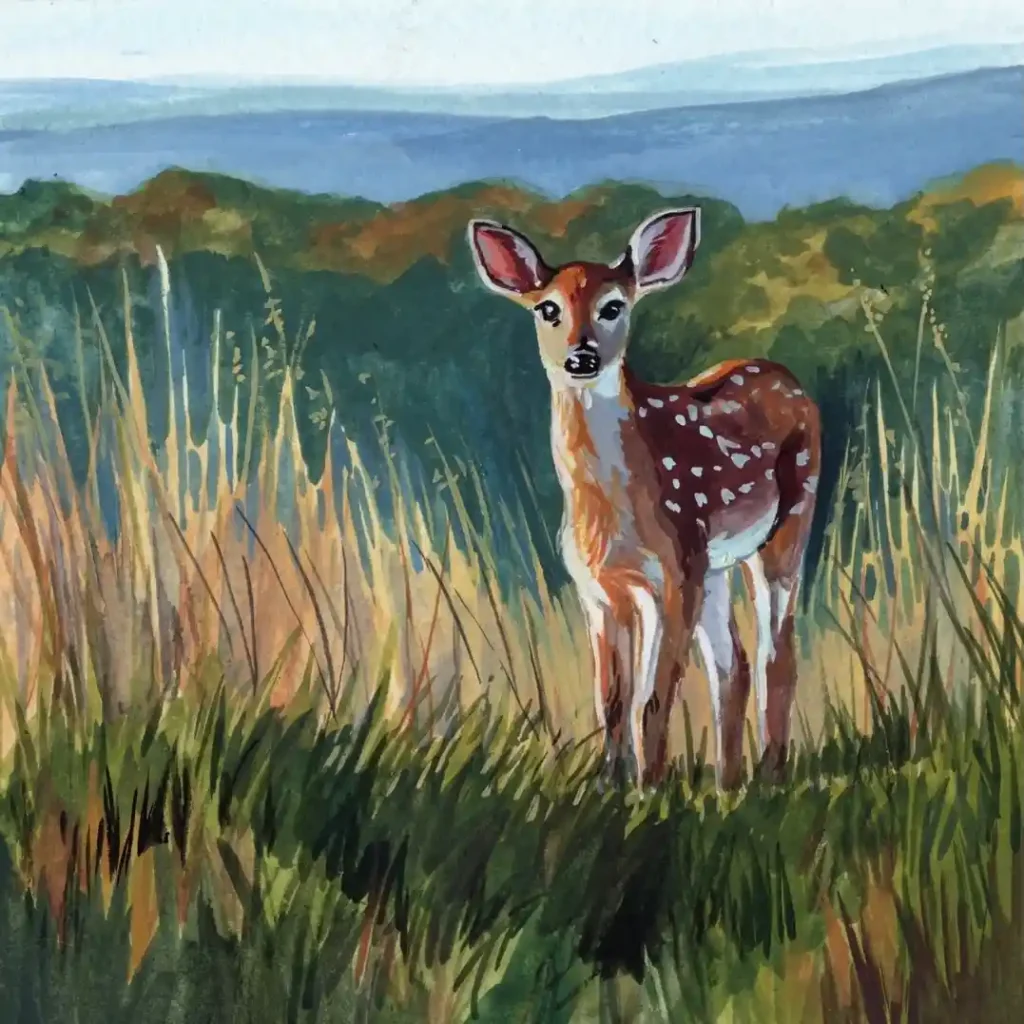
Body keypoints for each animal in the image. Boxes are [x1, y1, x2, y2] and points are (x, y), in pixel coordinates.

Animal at [467, 207, 821, 792]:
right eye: (547, 308)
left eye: (614, 306)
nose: (581, 356)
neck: (609, 514)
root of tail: (784, 375)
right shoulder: (598, 592)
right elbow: (611, 700)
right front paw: (610, 785)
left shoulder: (672, 577)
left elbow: (652, 699)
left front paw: (650, 788)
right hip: (714, 565)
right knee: (734, 664)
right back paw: (727, 784)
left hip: (787, 525)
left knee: (778, 653)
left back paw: (770, 776)